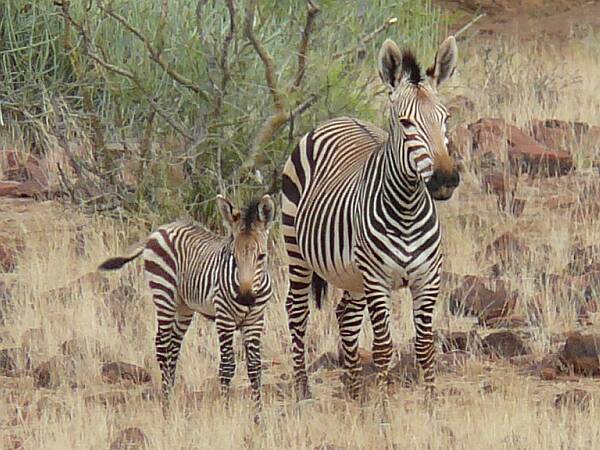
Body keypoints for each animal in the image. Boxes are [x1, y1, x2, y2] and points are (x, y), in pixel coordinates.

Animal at [99, 196, 276, 418]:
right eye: (233, 256)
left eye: (261, 256)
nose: (245, 298)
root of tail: (161, 228)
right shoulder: (224, 318)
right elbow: (227, 366)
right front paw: (226, 412)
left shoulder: (255, 320)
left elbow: (254, 368)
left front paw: (258, 417)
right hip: (164, 293)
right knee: (162, 345)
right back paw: (166, 404)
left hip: (184, 307)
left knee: (173, 346)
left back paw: (171, 396)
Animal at [282, 35, 460, 400]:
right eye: (406, 123)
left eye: (446, 118)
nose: (446, 179)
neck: (406, 208)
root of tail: (338, 118)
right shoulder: (377, 280)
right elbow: (383, 347)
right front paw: (383, 406)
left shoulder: (428, 279)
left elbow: (425, 346)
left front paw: (431, 403)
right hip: (296, 250)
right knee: (297, 311)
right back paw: (303, 389)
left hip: (352, 274)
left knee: (346, 315)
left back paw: (353, 391)